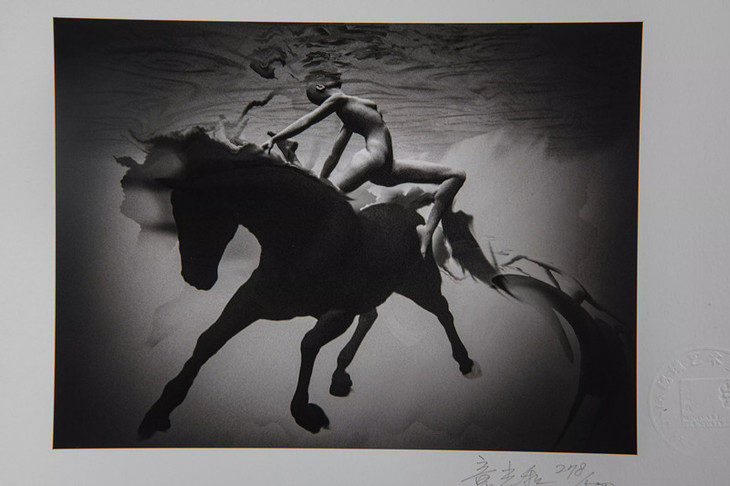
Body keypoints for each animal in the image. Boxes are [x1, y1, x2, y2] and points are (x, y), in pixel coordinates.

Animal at [136, 129, 484, 439]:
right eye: (177, 214)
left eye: (204, 217)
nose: (195, 278)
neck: (304, 239)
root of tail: (414, 217)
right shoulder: (251, 300)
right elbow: (208, 340)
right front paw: (158, 413)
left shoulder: (339, 312)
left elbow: (308, 343)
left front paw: (306, 414)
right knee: (371, 316)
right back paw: (340, 377)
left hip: (420, 287)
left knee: (443, 312)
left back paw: (465, 361)